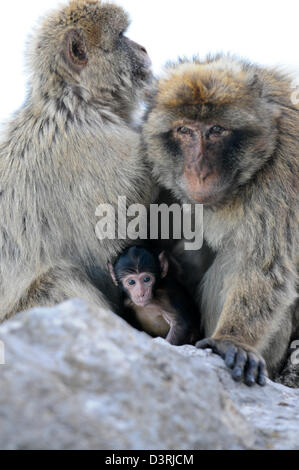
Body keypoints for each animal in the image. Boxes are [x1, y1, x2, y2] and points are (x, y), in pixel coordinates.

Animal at [0, 0, 155, 320]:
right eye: (121, 36)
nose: (144, 48)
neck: (76, 101)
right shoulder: (85, 148)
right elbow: (119, 226)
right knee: (59, 280)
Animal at [144, 56, 299, 386]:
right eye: (184, 130)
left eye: (216, 130)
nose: (200, 172)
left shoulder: (286, 168)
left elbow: (267, 264)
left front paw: (232, 341)